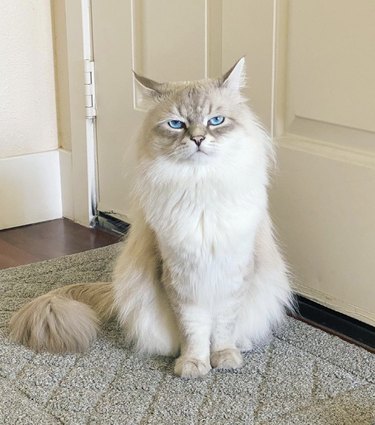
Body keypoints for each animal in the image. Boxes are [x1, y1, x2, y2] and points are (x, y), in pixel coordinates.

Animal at [8, 57, 290, 378]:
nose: (198, 139)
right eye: (176, 124)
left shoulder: (233, 275)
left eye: (216, 121)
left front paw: (224, 358)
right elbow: (194, 330)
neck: (200, 187)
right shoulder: (179, 278)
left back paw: (242, 346)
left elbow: (223, 328)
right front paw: (193, 365)